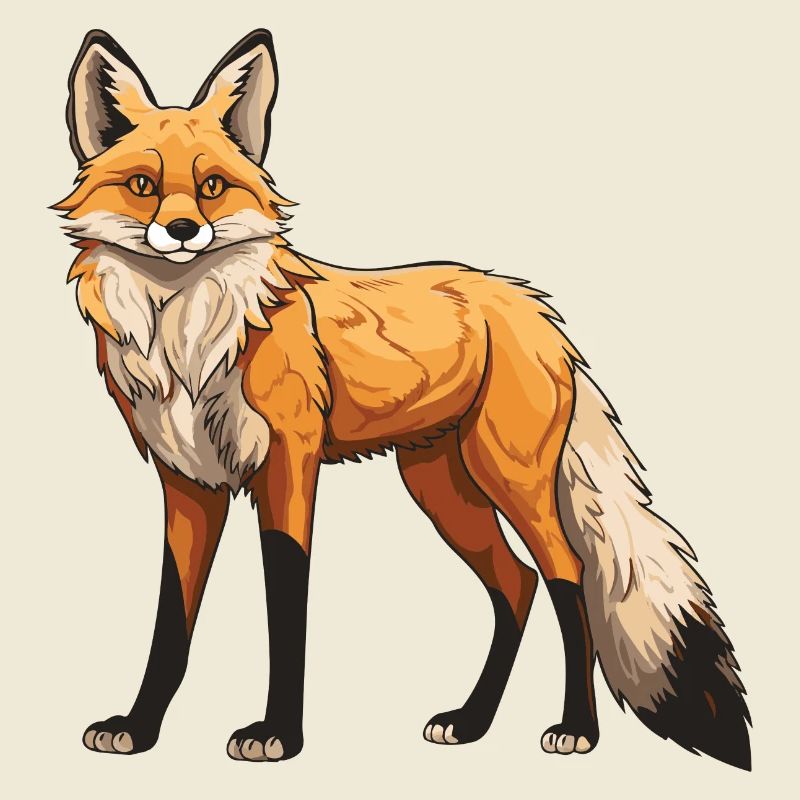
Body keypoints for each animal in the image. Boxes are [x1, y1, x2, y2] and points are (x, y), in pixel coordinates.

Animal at [56, 29, 751, 769]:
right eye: (143, 187)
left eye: (212, 187)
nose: (184, 231)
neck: (189, 343)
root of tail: (531, 306)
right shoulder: (189, 483)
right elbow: (171, 621)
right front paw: (139, 726)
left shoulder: (289, 466)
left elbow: (287, 606)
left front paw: (279, 734)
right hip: (439, 486)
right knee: (517, 585)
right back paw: (472, 721)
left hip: (510, 478)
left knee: (566, 577)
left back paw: (577, 728)